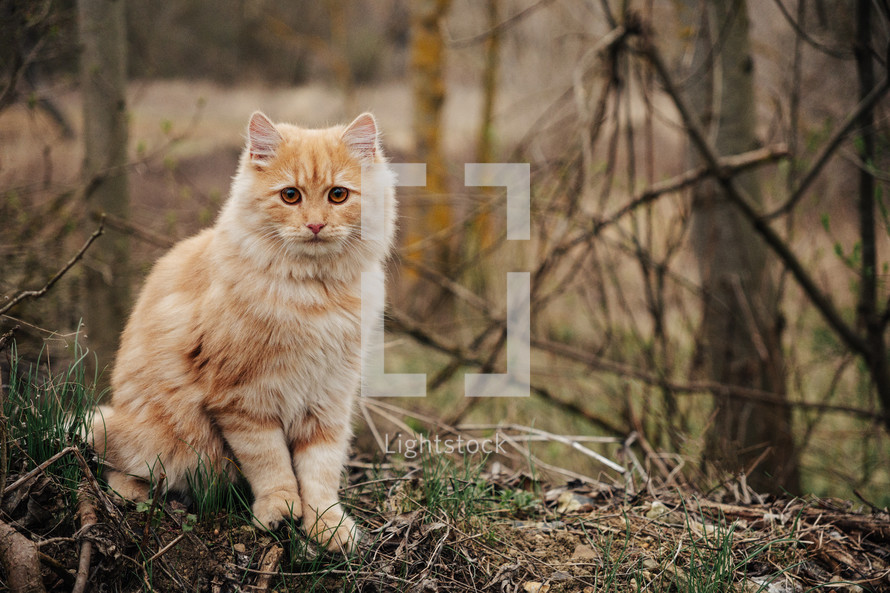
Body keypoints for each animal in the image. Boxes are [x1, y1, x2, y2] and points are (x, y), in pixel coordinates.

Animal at [91, 111, 396, 552]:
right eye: (290, 196)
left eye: (338, 195)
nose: (315, 224)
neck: (314, 295)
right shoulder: (244, 400)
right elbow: (271, 464)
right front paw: (280, 509)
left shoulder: (329, 400)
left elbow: (320, 472)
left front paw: (327, 524)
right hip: (147, 438)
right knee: (116, 468)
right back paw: (137, 493)